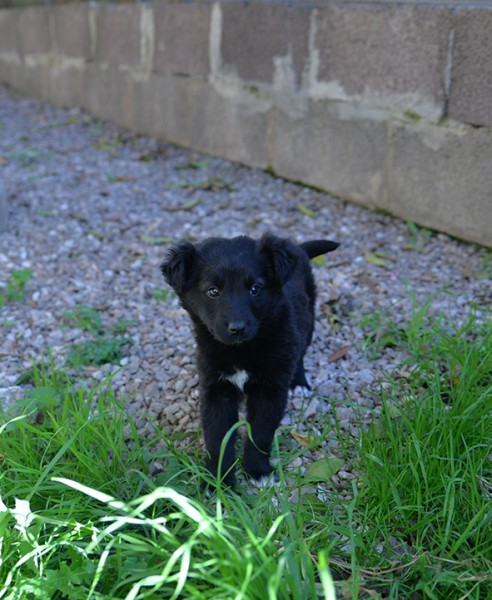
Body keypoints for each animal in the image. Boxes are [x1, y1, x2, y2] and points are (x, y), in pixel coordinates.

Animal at [161, 232, 338, 486]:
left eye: (255, 289)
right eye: (213, 291)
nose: (237, 328)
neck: (242, 350)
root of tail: (297, 248)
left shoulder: (270, 389)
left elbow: (261, 432)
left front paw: (258, 470)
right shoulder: (216, 388)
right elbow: (218, 438)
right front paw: (217, 480)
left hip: (308, 317)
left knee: (301, 351)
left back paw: (299, 383)